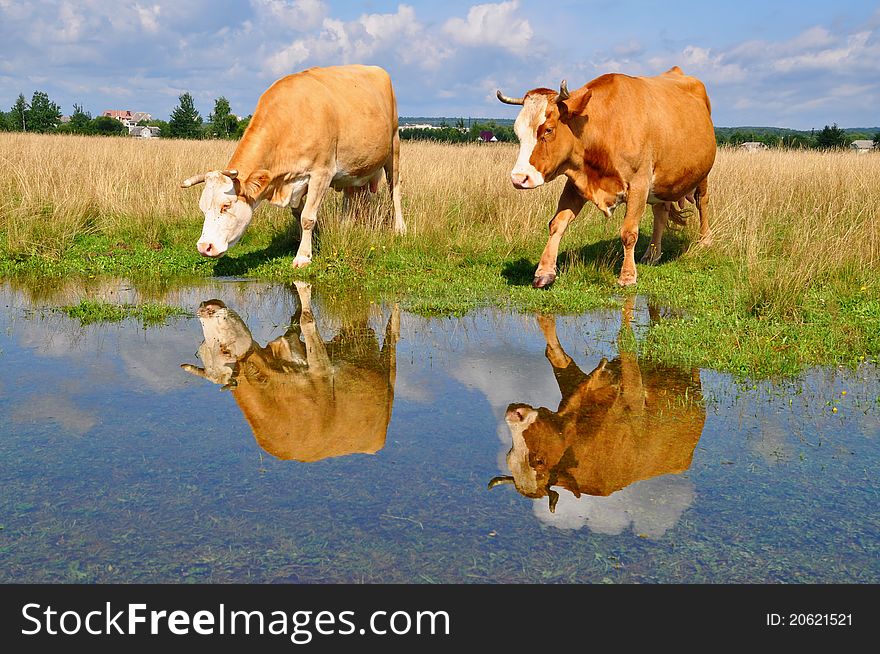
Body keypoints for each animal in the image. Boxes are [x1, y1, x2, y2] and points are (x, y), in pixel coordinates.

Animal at [181, 282, 398, 462]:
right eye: (202, 348)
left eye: (224, 351)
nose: (205, 307)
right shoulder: (289, 344)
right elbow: (297, 320)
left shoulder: (322, 371)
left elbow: (306, 320)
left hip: (389, 371)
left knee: (392, 336)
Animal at [183, 66, 410, 270]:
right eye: (203, 208)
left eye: (226, 206)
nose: (204, 247)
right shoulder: (295, 182)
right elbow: (297, 214)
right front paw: (305, 244)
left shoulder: (321, 173)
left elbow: (307, 217)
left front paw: (303, 257)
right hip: (353, 166)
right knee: (350, 193)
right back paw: (345, 226)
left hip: (394, 147)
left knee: (395, 190)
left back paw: (399, 228)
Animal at [488, 300, 700, 516]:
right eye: (509, 456)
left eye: (540, 461)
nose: (513, 414)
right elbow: (557, 357)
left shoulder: (635, 397)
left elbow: (624, 339)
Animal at [496, 67, 716, 290]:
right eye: (517, 132)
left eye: (548, 129)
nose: (519, 178)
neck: (605, 128)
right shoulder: (576, 182)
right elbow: (557, 223)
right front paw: (544, 272)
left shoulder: (639, 184)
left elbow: (629, 233)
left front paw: (627, 276)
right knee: (660, 213)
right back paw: (652, 254)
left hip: (702, 173)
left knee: (702, 203)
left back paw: (705, 240)